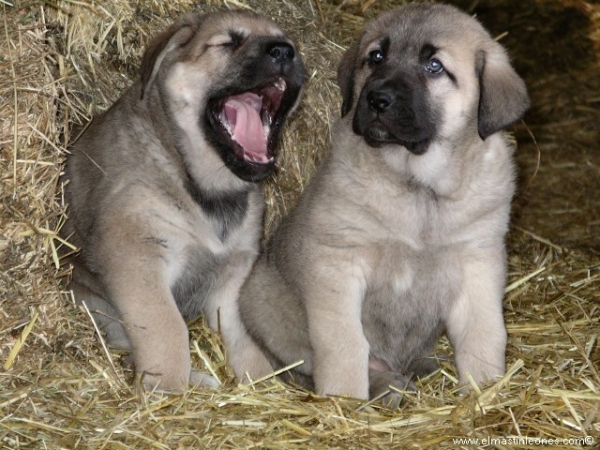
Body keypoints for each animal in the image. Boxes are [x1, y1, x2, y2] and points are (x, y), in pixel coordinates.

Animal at [62, 10, 304, 390]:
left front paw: (260, 383)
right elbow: (169, 330)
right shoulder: (139, 257)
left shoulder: (234, 271)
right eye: (228, 42)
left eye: (288, 42)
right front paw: (168, 390)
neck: (206, 190)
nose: (284, 51)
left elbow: (244, 338)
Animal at [239, 2, 528, 404]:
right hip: (260, 298)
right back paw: (387, 385)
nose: (376, 99)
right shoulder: (337, 262)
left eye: (434, 66)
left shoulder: (479, 261)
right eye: (376, 57)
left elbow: (484, 333)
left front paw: (486, 391)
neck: (419, 187)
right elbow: (344, 343)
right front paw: (344, 399)